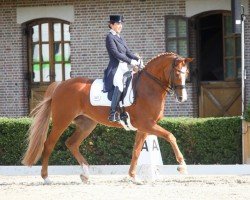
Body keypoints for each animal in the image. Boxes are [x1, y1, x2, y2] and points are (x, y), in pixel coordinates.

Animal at [22, 52, 193, 184]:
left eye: (187, 74)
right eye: (177, 73)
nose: (182, 98)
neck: (149, 87)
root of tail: (60, 84)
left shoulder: (144, 127)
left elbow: (136, 151)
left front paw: (133, 177)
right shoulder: (147, 124)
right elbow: (171, 136)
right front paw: (182, 166)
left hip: (87, 124)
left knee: (71, 143)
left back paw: (85, 174)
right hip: (61, 121)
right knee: (49, 144)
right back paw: (46, 178)